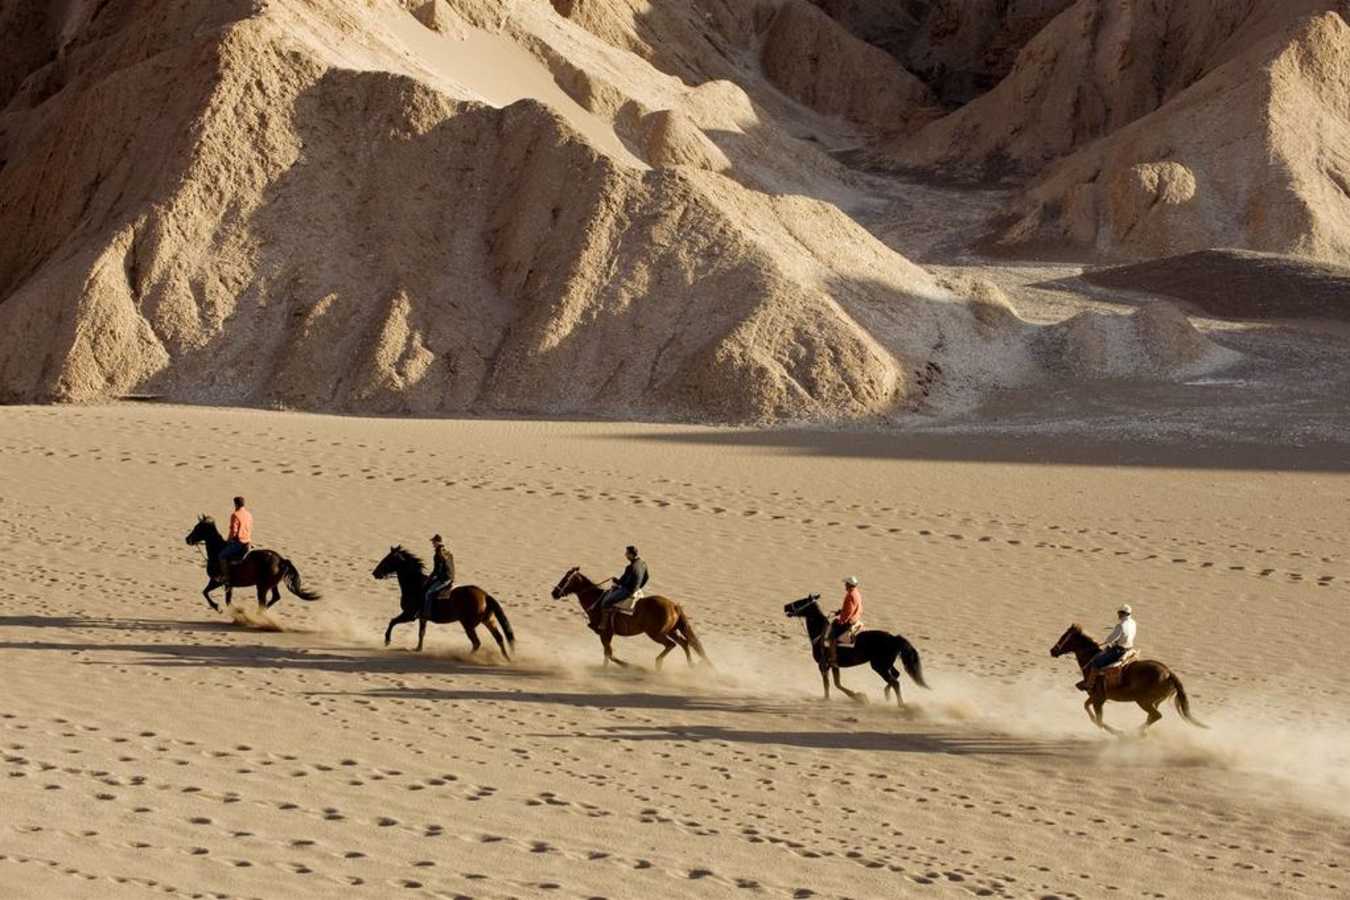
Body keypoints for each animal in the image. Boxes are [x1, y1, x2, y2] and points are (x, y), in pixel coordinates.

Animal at [184, 516, 321, 612]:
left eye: (198, 528)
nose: (187, 539)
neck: (217, 550)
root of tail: (281, 560)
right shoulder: (229, 585)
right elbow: (226, 600)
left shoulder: (217, 581)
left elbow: (205, 592)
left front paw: (217, 607)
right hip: (271, 585)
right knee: (275, 597)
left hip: (262, 587)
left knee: (264, 601)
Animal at [373, 546, 515, 658]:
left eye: (387, 559)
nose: (375, 573)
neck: (416, 585)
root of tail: (485, 595)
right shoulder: (422, 618)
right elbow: (421, 633)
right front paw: (418, 649)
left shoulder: (409, 615)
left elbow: (392, 621)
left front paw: (387, 640)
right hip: (489, 621)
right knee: (499, 638)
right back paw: (506, 658)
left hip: (468, 625)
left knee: (477, 643)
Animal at [550, 567, 712, 669]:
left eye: (566, 578)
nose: (554, 593)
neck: (596, 600)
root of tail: (673, 605)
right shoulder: (607, 634)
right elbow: (607, 654)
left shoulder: (605, 633)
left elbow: (609, 653)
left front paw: (629, 665)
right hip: (670, 630)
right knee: (685, 642)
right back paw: (691, 665)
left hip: (656, 634)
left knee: (672, 644)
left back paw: (658, 664)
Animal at [783, 594, 927, 705]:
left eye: (801, 601)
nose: (786, 606)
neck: (820, 634)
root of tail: (894, 638)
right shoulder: (834, 665)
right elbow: (837, 683)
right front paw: (859, 696)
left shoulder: (823, 665)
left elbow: (829, 684)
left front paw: (830, 698)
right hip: (886, 665)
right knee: (896, 676)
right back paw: (887, 695)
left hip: (879, 666)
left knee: (895, 682)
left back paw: (901, 705)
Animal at [1050, 624, 1207, 735]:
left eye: (1064, 637)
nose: (1052, 651)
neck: (1091, 659)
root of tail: (1169, 673)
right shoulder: (1096, 697)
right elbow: (1089, 711)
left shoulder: (1099, 698)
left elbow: (1099, 721)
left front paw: (1118, 732)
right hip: (1155, 701)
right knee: (1152, 717)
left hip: (1143, 701)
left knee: (1156, 716)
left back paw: (1133, 733)